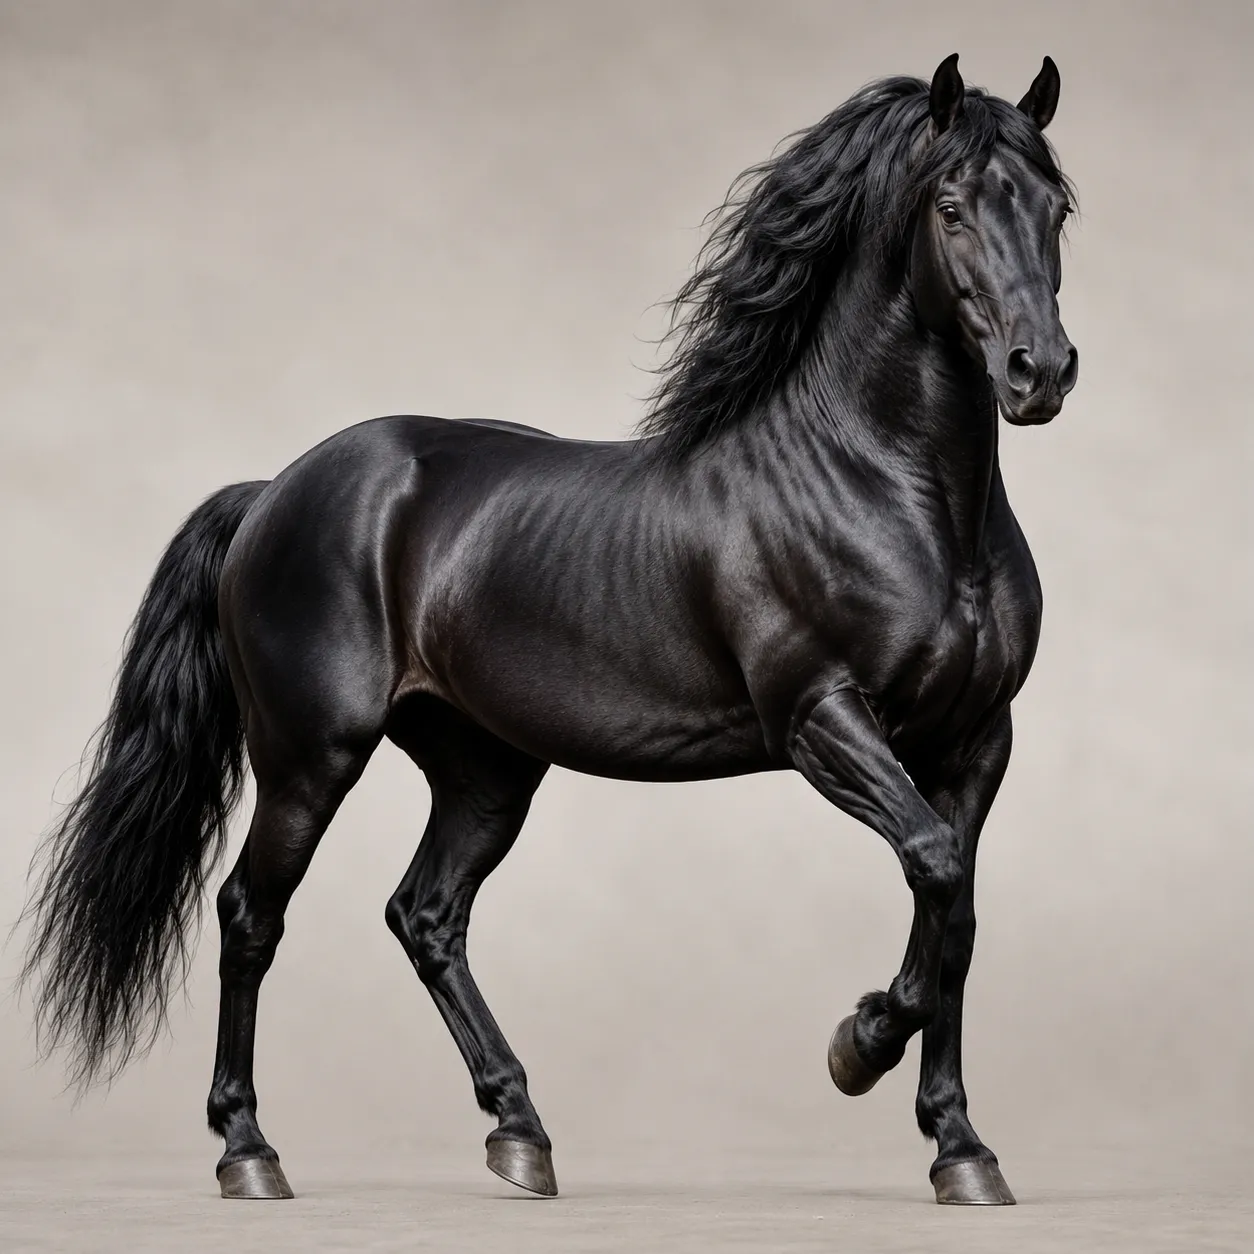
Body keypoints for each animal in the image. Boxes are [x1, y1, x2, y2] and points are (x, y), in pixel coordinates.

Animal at [19, 52, 1078, 1207]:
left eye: (1058, 207)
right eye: (951, 207)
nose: (1040, 373)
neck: (896, 497)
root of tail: (272, 494)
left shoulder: (976, 740)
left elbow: (954, 908)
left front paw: (961, 1150)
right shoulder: (823, 722)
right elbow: (935, 874)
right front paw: (859, 1044)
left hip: (484, 768)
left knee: (426, 915)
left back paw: (520, 1133)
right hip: (308, 757)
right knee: (252, 916)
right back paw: (250, 1152)